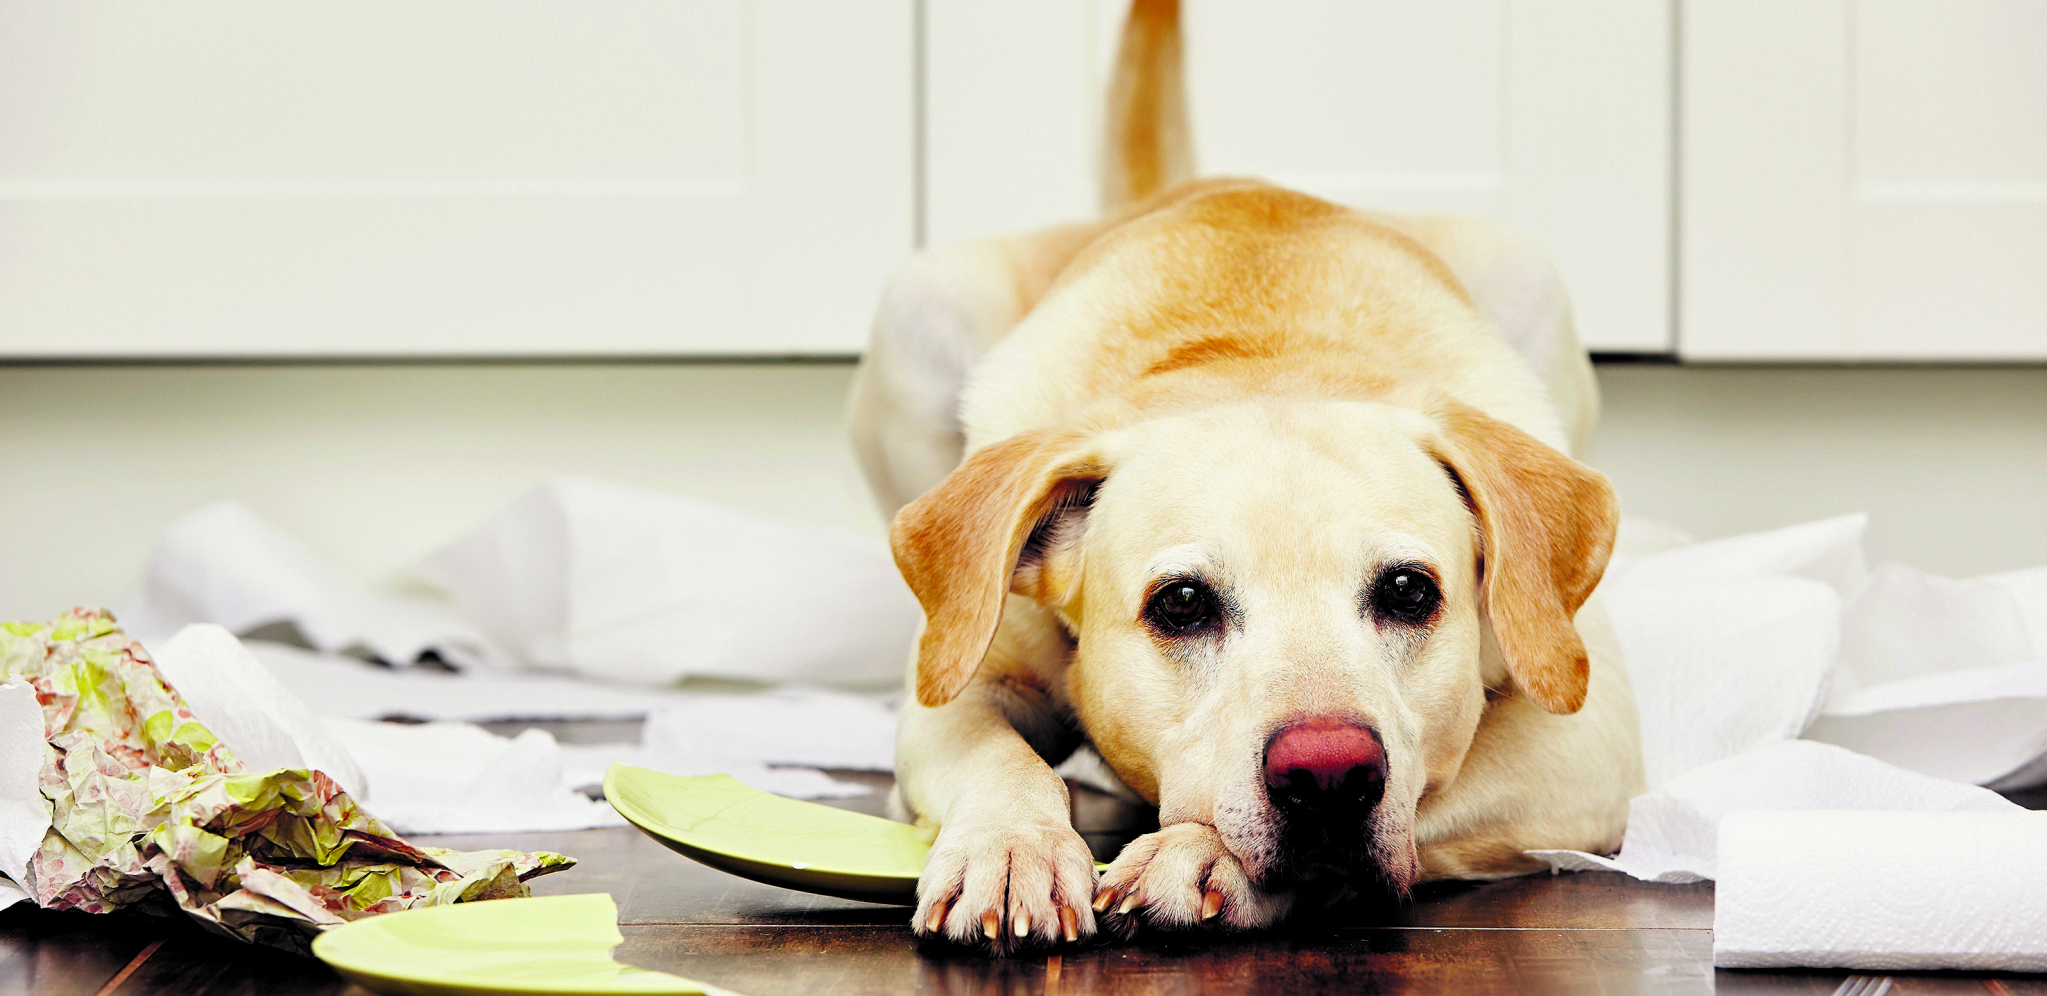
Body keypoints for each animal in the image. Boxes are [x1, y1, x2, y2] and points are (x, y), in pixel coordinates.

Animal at [847, 0, 1645, 957]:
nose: (1329, 775)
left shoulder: (1588, 743)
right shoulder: (960, 685)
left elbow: (1435, 786)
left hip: (1524, 268)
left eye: (1409, 592)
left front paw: (1200, 856)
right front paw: (1011, 844)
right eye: (1181, 604)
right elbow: (995, 755)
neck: (1257, 350)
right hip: (918, 303)